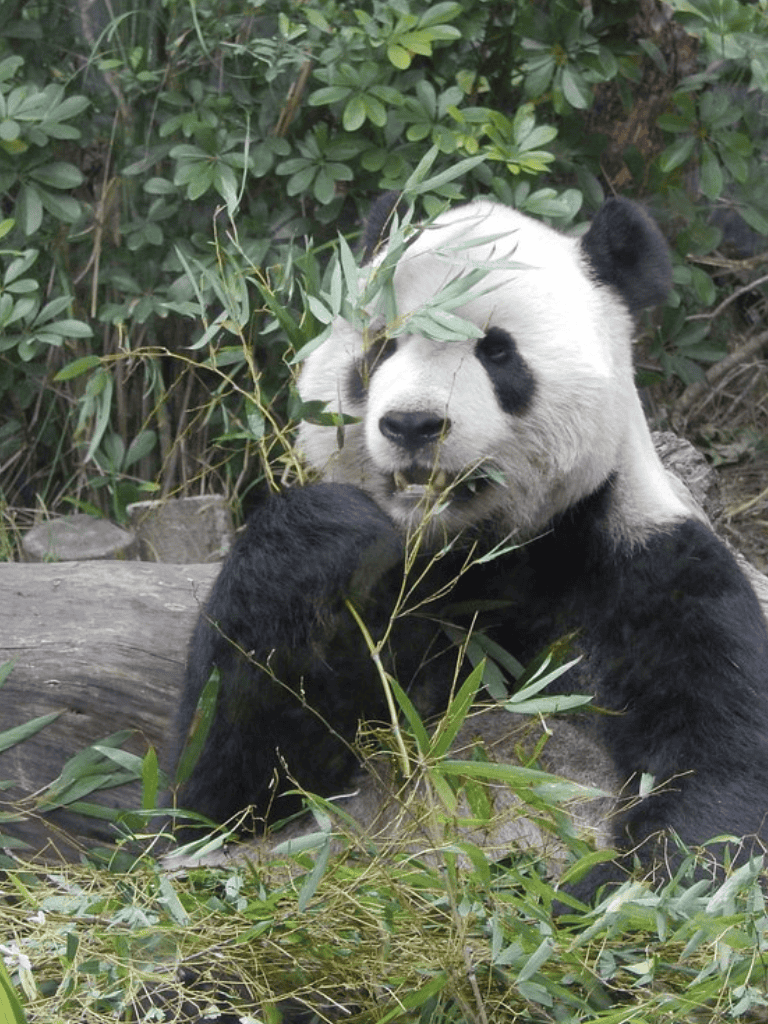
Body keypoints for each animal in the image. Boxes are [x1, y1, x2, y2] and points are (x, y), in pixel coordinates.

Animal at [172, 196, 768, 904]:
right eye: (381, 346)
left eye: (497, 351)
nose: (412, 425)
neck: (466, 549)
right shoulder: (386, 599)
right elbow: (227, 789)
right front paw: (328, 530)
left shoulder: (650, 569)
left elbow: (716, 779)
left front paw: (591, 895)